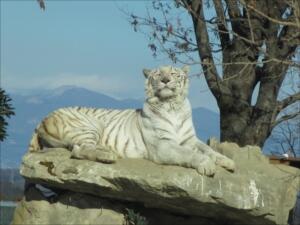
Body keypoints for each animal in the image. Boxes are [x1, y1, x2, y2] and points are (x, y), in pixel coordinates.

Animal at [28, 65, 234, 176]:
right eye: (158, 74)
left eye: (174, 74)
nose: (166, 80)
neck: (172, 106)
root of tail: (43, 119)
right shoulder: (163, 146)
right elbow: (190, 154)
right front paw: (207, 164)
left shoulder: (190, 139)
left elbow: (209, 149)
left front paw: (228, 162)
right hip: (90, 124)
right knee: (78, 149)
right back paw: (107, 155)